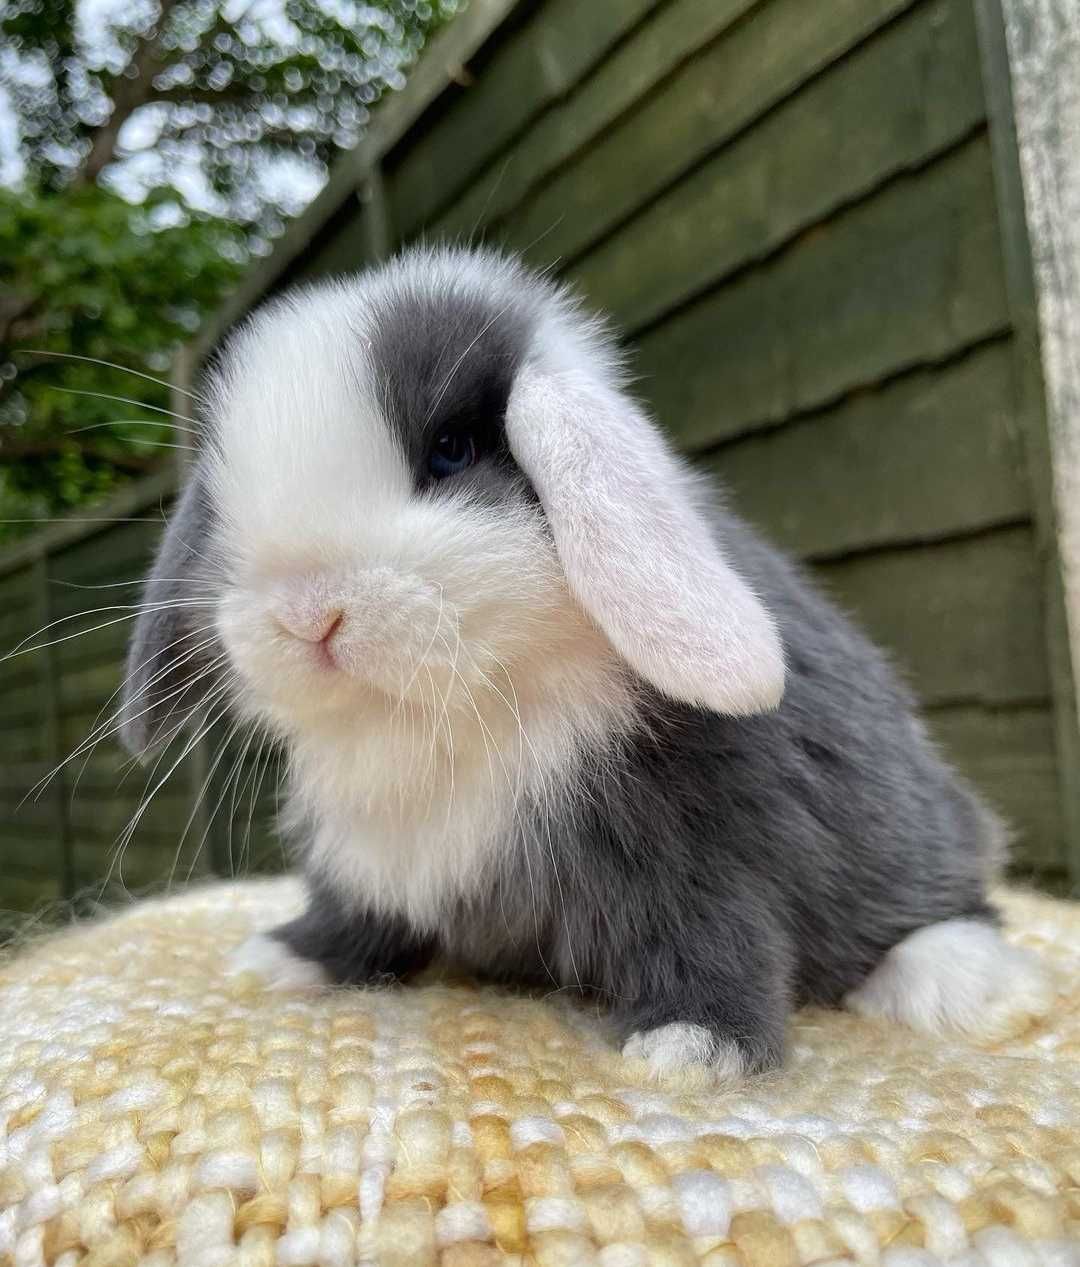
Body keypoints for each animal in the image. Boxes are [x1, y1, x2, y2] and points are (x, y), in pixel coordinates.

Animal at [120, 241, 1054, 1074]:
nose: (307, 612)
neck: (456, 708)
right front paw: (284, 959)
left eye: (451, 449)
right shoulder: (370, 860)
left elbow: (719, 935)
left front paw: (688, 1048)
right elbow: (354, 916)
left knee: (958, 905)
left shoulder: (703, 851)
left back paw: (969, 986)